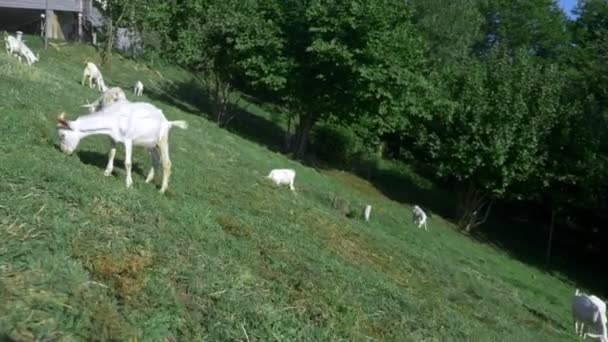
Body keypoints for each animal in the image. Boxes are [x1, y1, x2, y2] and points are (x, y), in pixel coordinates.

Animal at [58, 100, 190, 194]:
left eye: (63, 135)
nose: (64, 151)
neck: (115, 118)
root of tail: (168, 122)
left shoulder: (128, 140)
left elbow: (128, 163)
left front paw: (129, 184)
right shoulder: (112, 138)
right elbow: (111, 153)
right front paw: (107, 172)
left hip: (162, 139)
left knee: (167, 163)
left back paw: (162, 190)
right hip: (151, 144)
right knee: (156, 159)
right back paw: (147, 180)